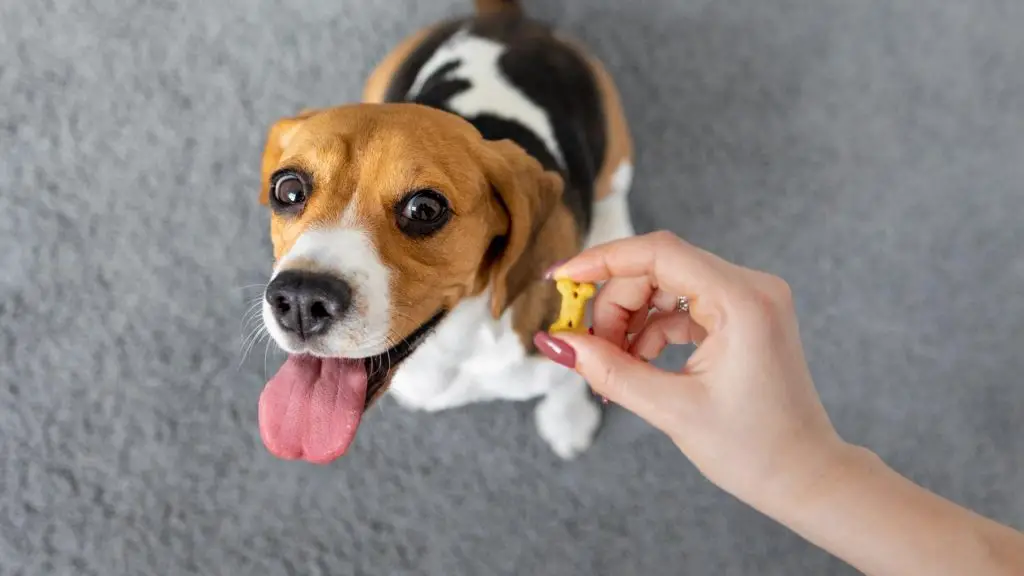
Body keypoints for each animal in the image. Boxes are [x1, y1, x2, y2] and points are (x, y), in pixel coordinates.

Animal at [253, 0, 630, 459]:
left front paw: (569, 419)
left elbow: (570, 375)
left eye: (425, 208)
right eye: (287, 189)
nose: (302, 301)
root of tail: (502, 20)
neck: (451, 344)